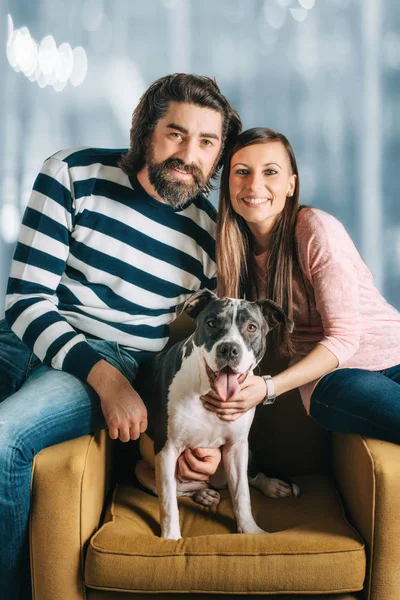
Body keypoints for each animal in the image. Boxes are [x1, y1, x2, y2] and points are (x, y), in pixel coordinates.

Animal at [134, 290, 300, 540]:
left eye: (251, 327)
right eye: (211, 323)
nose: (229, 349)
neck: (208, 391)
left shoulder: (237, 447)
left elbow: (242, 494)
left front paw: (250, 531)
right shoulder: (167, 449)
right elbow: (168, 503)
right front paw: (170, 538)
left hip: (245, 453)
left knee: (249, 477)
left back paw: (271, 485)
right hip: (144, 470)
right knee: (181, 489)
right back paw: (203, 494)